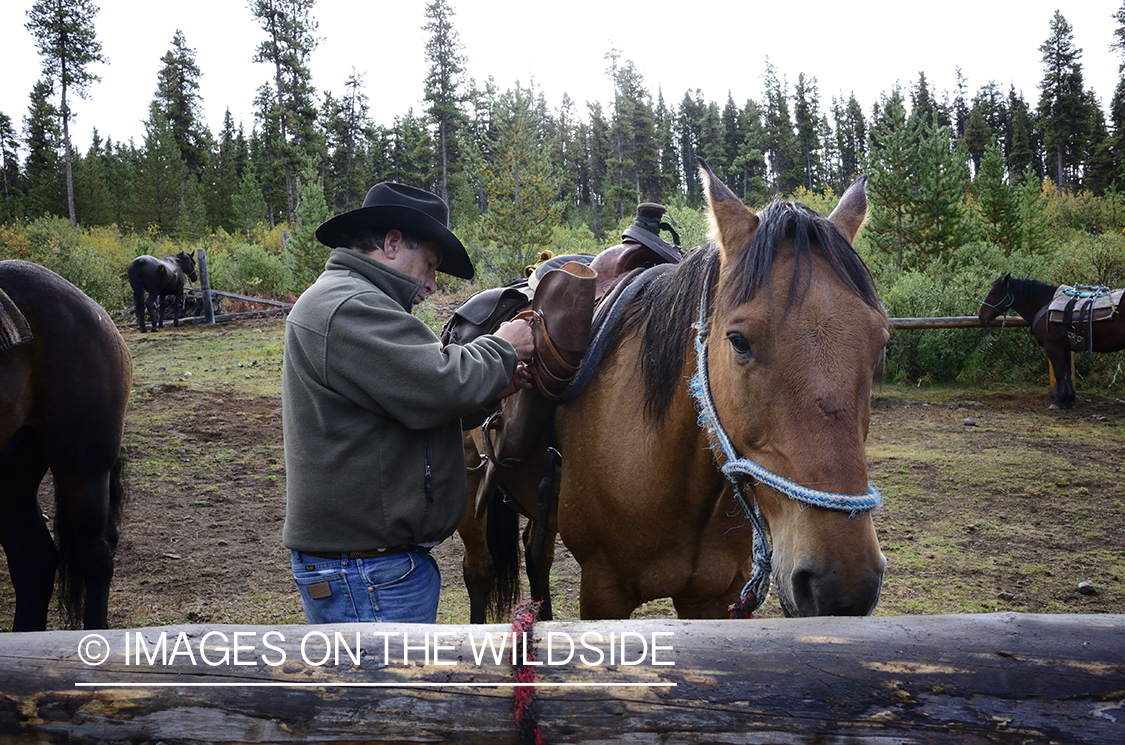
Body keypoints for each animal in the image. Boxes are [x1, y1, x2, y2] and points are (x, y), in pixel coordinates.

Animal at [459, 165, 886, 625]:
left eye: (881, 342)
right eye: (739, 341)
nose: (842, 584)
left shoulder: (715, 596)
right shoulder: (604, 591)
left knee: (536, 556)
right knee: (478, 570)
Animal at [976, 275, 1125, 409]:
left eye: (992, 292)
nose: (981, 315)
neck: (1045, 305)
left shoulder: (1053, 347)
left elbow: (1059, 373)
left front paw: (1059, 401)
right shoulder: (1065, 348)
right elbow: (1067, 373)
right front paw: (1068, 400)